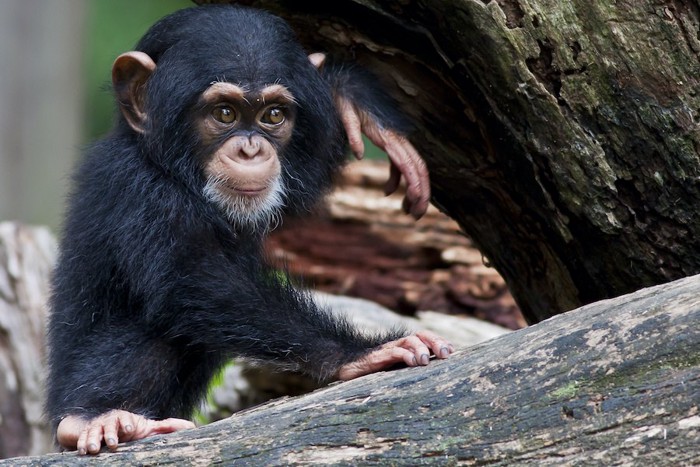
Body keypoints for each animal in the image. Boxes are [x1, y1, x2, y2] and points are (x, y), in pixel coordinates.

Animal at [47, 3, 454, 458]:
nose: (250, 149)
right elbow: (192, 278)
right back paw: (95, 418)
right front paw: (363, 353)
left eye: (272, 115)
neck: (173, 171)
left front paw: (352, 101)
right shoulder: (137, 189)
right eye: (224, 113)